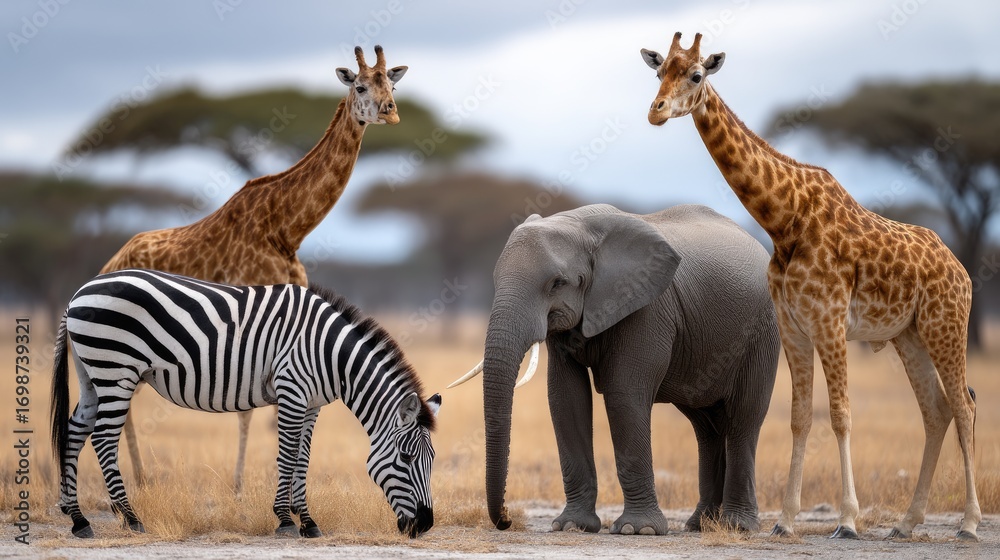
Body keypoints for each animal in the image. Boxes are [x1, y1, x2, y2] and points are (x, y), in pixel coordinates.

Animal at [51, 269, 441, 539]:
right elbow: (287, 456)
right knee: (103, 440)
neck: (328, 353)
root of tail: (78, 293)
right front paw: (284, 520)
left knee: (74, 433)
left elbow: (303, 459)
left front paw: (307, 522)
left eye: (431, 460)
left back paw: (78, 519)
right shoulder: (291, 390)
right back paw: (131, 519)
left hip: (92, 375)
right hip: (115, 369)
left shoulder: (312, 404)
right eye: (406, 458)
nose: (424, 525)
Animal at [94, 45, 408, 493]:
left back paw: (140, 477)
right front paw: (240, 484)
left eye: (393, 86)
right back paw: (140, 479)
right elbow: (249, 410)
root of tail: (110, 263)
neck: (286, 229)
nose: (391, 112)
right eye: (361, 86)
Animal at [453, 203, 780, 535]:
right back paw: (700, 525)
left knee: (744, 418)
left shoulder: (647, 307)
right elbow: (565, 397)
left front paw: (638, 530)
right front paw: (572, 526)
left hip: (762, 332)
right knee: (706, 427)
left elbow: (624, 393)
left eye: (557, 283)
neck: (582, 227)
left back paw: (738, 526)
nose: (506, 520)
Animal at [638, 32, 980, 542]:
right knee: (936, 411)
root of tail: (962, 271)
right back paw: (906, 523)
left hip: (946, 327)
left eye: (696, 75)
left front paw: (847, 521)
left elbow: (840, 415)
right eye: (659, 72)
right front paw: (784, 521)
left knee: (964, 407)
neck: (784, 220)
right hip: (909, 336)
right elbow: (800, 418)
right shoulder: (794, 327)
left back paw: (970, 524)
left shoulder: (831, 323)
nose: (656, 111)